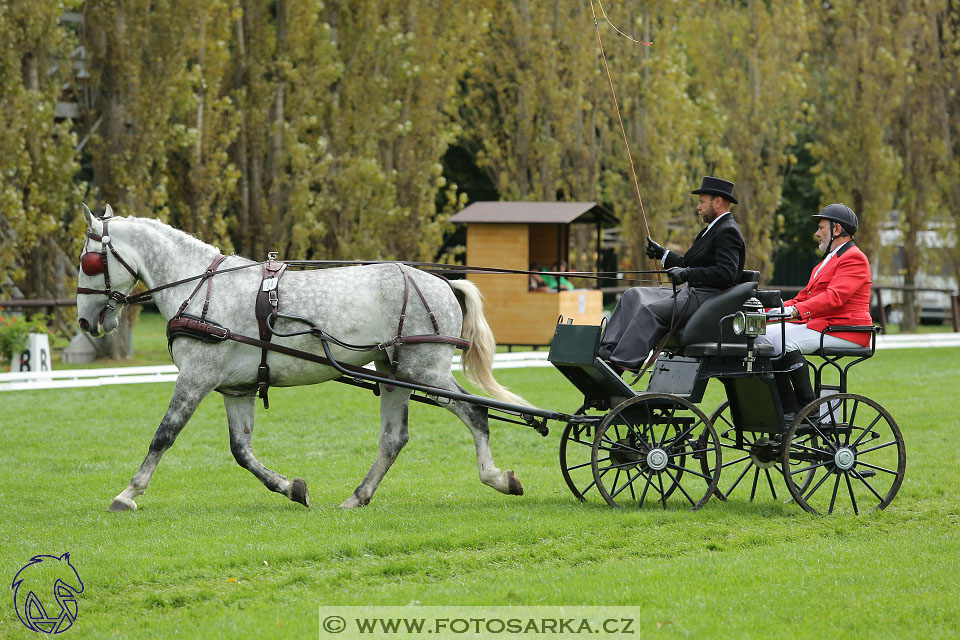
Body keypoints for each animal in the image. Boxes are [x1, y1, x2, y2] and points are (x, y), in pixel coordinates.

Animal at [75, 208, 524, 512]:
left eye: (88, 261)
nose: (84, 320)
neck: (201, 287)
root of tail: (443, 282)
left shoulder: (196, 377)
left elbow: (164, 435)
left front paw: (128, 494)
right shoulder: (235, 389)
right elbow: (241, 450)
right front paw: (290, 487)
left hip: (424, 370)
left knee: (475, 413)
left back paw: (498, 478)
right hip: (394, 373)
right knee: (394, 438)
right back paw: (358, 496)